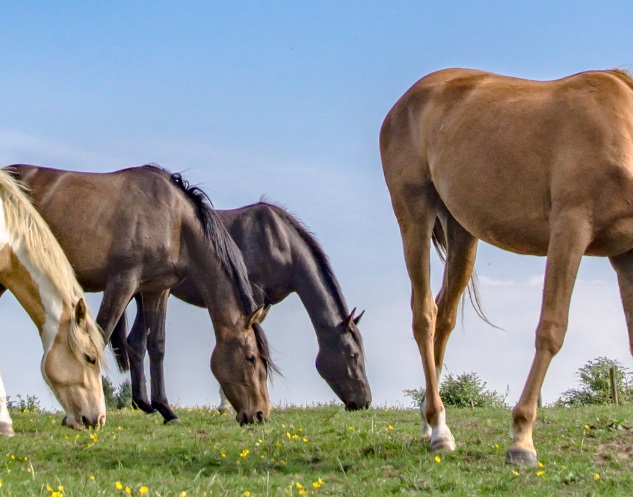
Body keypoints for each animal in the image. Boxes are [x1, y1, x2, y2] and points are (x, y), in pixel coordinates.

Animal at [110, 200, 370, 416]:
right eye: (353, 355)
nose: (364, 401)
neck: (279, 242)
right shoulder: (252, 298)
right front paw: (229, 404)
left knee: (135, 342)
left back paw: (144, 404)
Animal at [380, 68, 632, 464]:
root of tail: (403, 103)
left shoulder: (625, 254)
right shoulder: (569, 230)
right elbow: (551, 329)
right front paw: (521, 438)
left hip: (462, 233)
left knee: (444, 316)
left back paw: (431, 424)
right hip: (414, 216)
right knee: (424, 316)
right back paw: (439, 430)